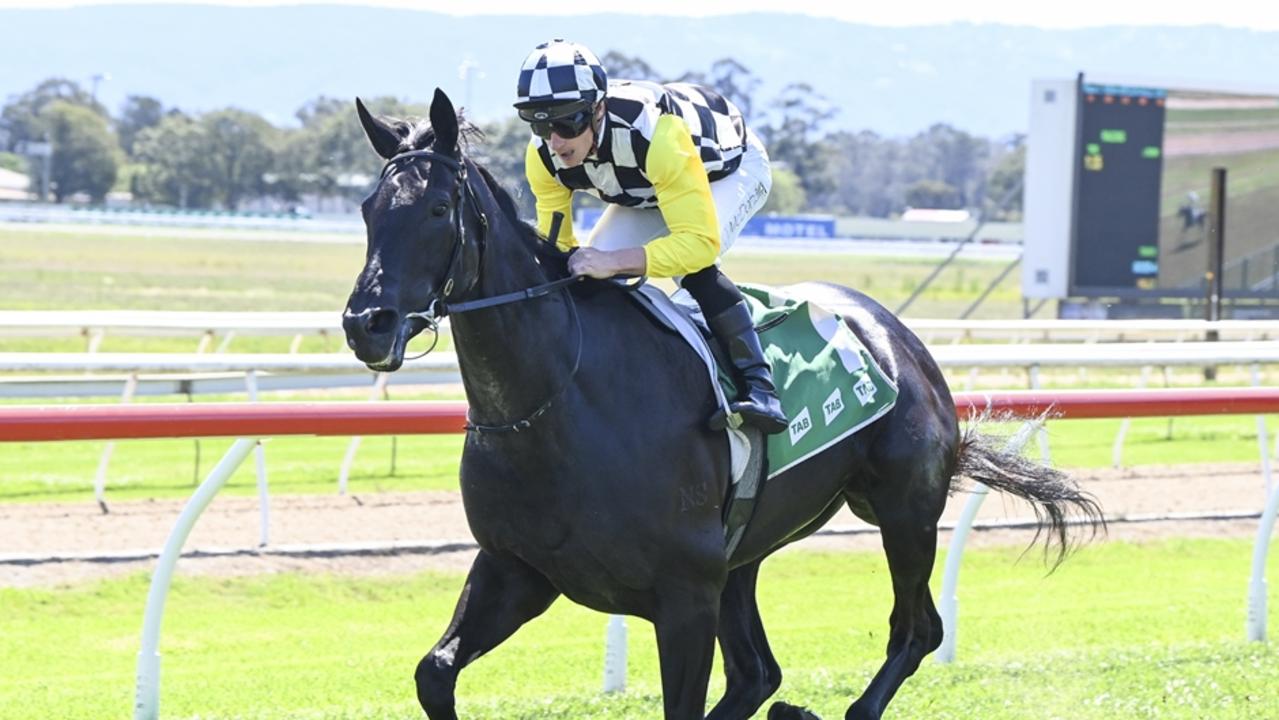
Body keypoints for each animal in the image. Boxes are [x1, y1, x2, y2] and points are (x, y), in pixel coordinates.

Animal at [345, 91, 1105, 720]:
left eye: (437, 210)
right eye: (367, 210)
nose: (366, 324)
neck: (554, 406)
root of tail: (900, 340)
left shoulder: (684, 599)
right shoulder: (517, 569)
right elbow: (433, 672)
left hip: (904, 511)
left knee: (915, 630)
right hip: (746, 554)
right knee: (759, 676)